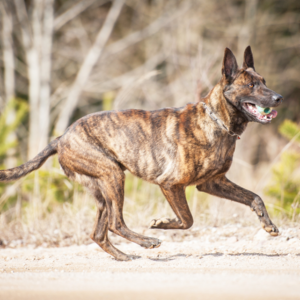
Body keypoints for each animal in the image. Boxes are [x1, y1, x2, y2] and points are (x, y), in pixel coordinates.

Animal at [0, 46, 282, 260]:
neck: (217, 122)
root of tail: (61, 138)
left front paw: (268, 224)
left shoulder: (213, 183)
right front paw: (162, 223)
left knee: (99, 233)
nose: (279, 98)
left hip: (101, 192)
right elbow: (187, 219)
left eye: (265, 82)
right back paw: (146, 242)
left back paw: (123, 256)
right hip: (113, 176)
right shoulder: (170, 184)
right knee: (116, 223)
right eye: (251, 85)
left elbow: (254, 197)